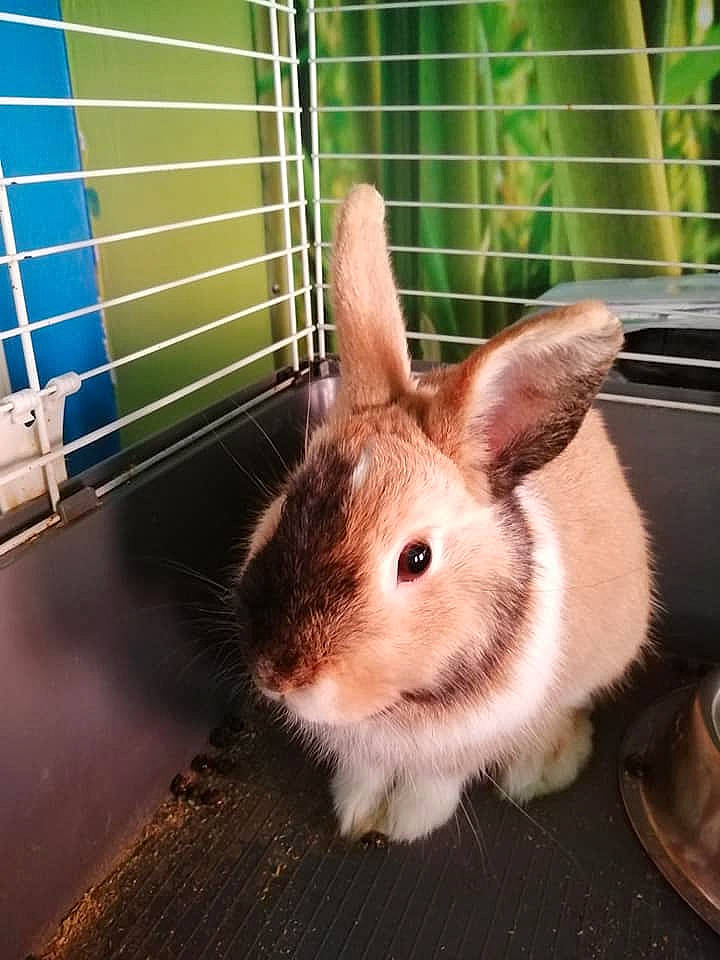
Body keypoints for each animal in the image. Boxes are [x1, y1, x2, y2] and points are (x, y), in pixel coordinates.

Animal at [234, 184, 652, 844]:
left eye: (416, 559)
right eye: (288, 501)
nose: (280, 676)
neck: (400, 704)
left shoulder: (455, 754)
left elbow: (434, 786)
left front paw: (403, 824)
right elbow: (365, 773)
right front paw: (358, 813)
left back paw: (540, 769)